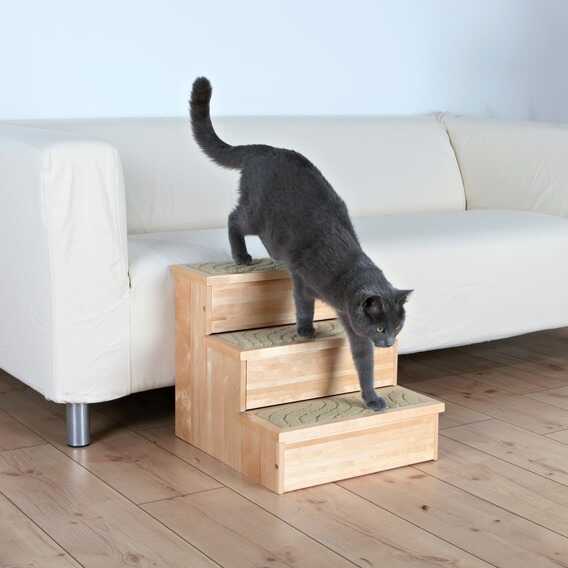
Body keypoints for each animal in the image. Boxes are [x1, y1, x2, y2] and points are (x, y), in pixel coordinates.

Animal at [190, 77, 411, 410]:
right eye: (380, 328)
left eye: (396, 327)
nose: (388, 343)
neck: (348, 272)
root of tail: (263, 149)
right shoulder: (307, 284)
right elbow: (303, 305)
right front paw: (306, 331)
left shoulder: (354, 327)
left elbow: (364, 362)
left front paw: (371, 398)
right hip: (258, 215)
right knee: (233, 219)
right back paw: (241, 256)